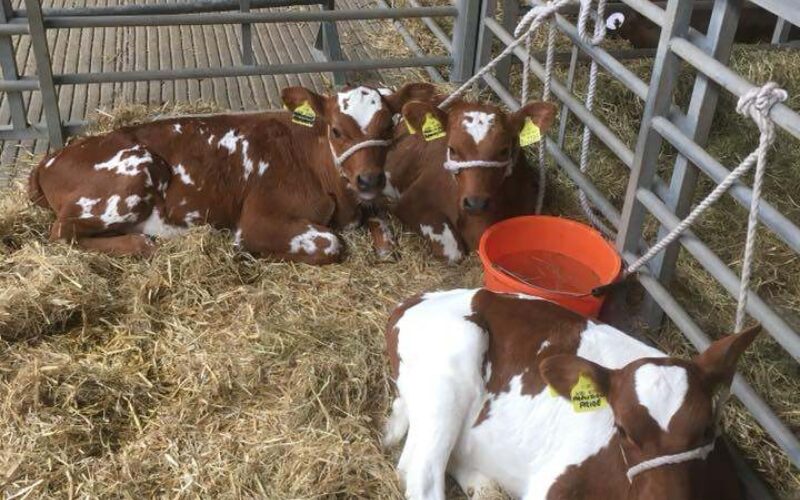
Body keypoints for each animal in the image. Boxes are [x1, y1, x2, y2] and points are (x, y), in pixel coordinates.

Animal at [27, 83, 439, 263]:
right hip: (133, 173)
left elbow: (381, 219)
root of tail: (50, 159)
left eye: (389, 126)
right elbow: (331, 243)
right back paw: (139, 242)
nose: (369, 180)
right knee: (61, 232)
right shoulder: (259, 219)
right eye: (336, 130)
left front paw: (383, 241)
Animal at [384, 288, 757, 499]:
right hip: (452, 366)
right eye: (621, 429)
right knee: (422, 474)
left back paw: (483, 486)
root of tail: (417, 298)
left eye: (707, 430)